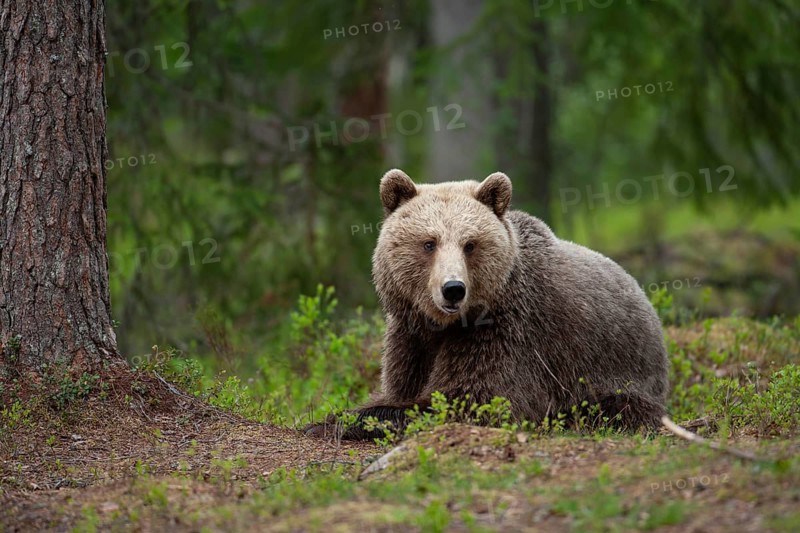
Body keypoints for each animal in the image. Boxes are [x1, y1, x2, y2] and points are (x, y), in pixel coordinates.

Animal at [307, 168, 669, 440]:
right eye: (429, 243)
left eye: (470, 244)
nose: (453, 289)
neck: (446, 324)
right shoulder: (411, 334)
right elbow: (401, 384)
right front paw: (331, 418)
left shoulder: (509, 332)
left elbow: (474, 399)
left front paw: (345, 421)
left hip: (617, 375)